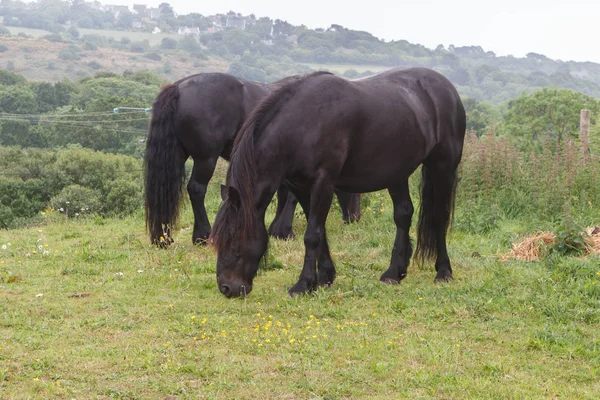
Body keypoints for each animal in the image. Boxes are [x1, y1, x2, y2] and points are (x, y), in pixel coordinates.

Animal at [144, 73, 360, 245]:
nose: (355, 218)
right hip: (206, 159)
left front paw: (277, 229)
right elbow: (291, 196)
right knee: (196, 190)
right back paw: (202, 236)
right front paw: (284, 231)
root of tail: (178, 88)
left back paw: (164, 238)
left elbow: (283, 194)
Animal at [211, 67, 468, 296]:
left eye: (234, 238)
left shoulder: (324, 182)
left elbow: (312, 235)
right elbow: (319, 231)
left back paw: (443, 272)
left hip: (442, 167)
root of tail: (447, 88)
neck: (303, 123)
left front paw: (303, 285)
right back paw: (394, 273)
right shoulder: (302, 187)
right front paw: (325, 277)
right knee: (403, 215)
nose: (227, 288)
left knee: (439, 217)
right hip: (397, 173)